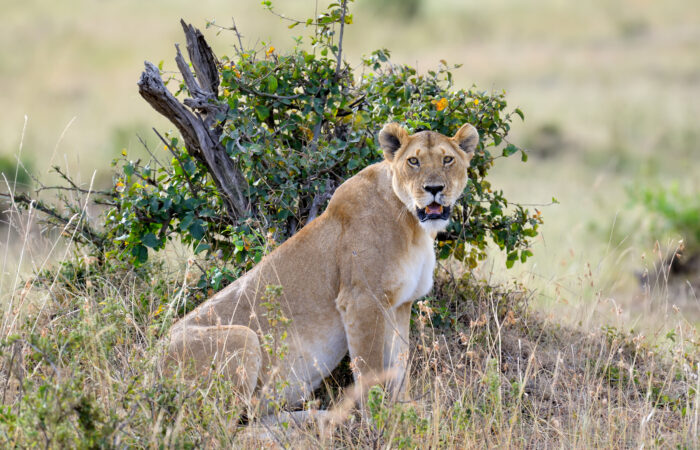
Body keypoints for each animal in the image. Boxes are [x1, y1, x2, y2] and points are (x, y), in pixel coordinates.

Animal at [164, 122, 478, 420]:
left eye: (448, 159)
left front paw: (404, 413)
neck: (413, 225)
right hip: (244, 337)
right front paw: (378, 420)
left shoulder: (400, 304)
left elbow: (399, 365)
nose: (434, 189)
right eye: (414, 161)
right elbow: (370, 368)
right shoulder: (362, 299)